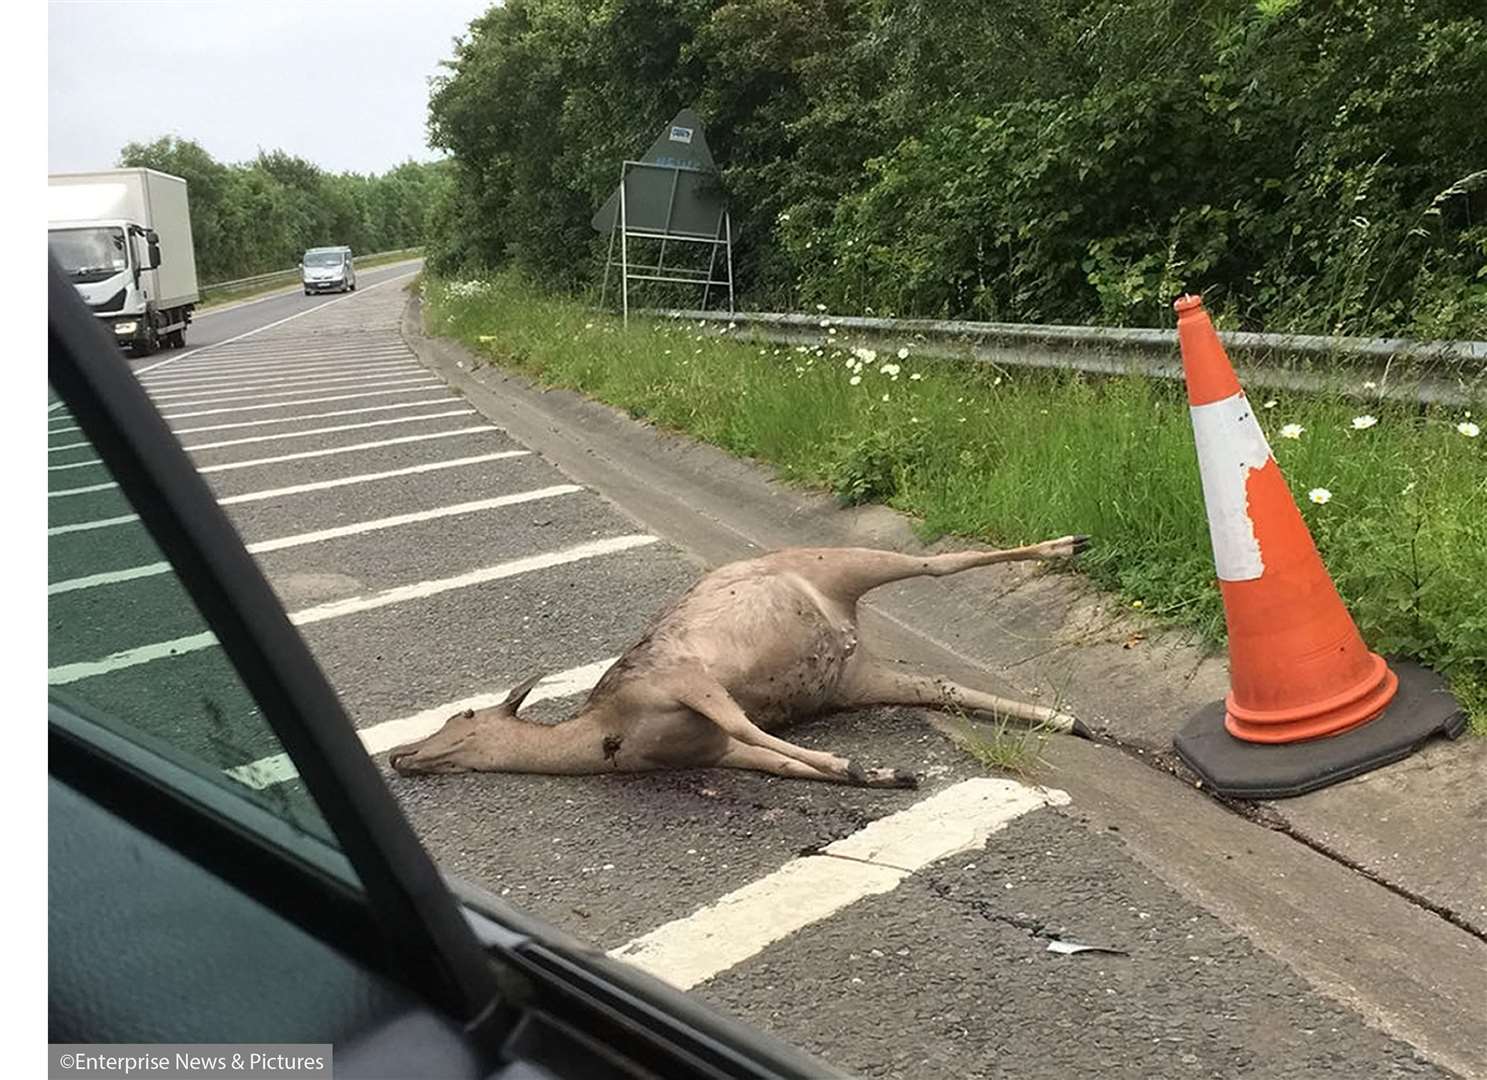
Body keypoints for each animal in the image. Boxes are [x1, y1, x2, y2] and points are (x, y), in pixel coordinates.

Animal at [389, 538, 1094, 791]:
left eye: (462, 715)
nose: (399, 755)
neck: (607, 739)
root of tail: (846, 633)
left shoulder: (684, 677)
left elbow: (749, 724)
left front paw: (860, 764)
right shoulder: (716, 751)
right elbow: (776, 759)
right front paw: (879, 773)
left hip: (840, 562)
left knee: (938, 561)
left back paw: (1072, 543)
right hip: (854, 680)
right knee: (940, 683)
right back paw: (1073, 721)